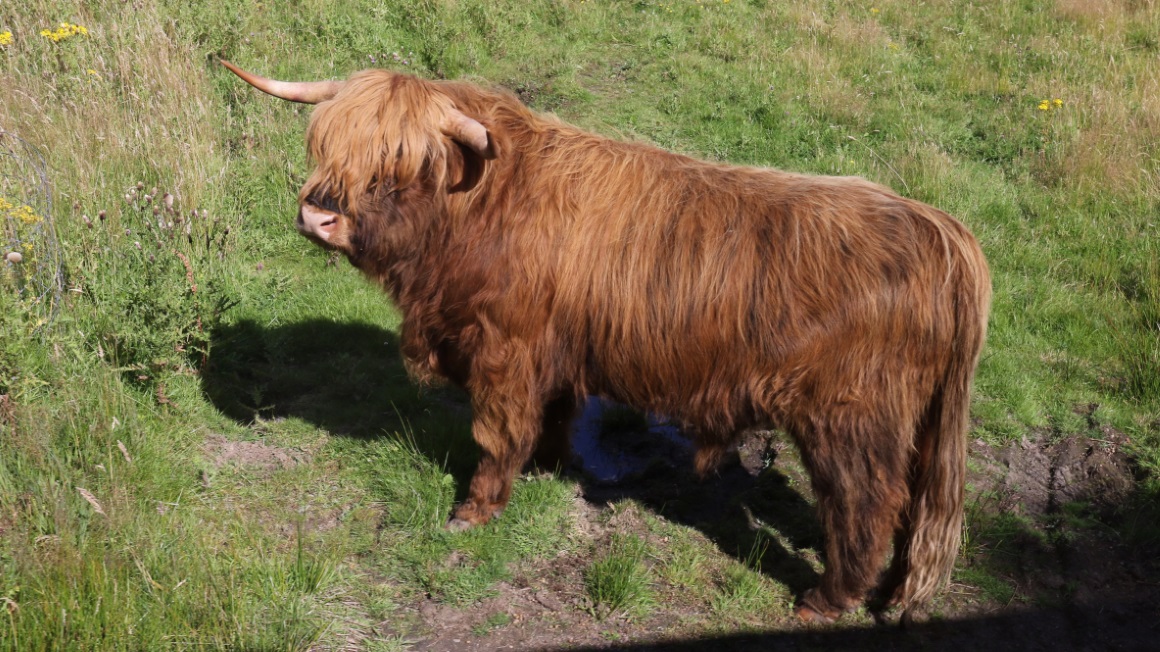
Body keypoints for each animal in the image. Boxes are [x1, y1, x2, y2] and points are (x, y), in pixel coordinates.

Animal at [222, 60, 991, 623]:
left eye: (399, 165)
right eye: (327, 148)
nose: (318, 216)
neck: (476, 212)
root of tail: (939, 231)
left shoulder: (505, 351)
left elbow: (496, 434)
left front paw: (474, 511)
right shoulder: (556, 353)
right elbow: (553, 417)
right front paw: (546, 467)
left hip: (850, 420)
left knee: (866, 504)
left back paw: (825, 600)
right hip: (916, 424)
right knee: (913, 507)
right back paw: (890, 595)